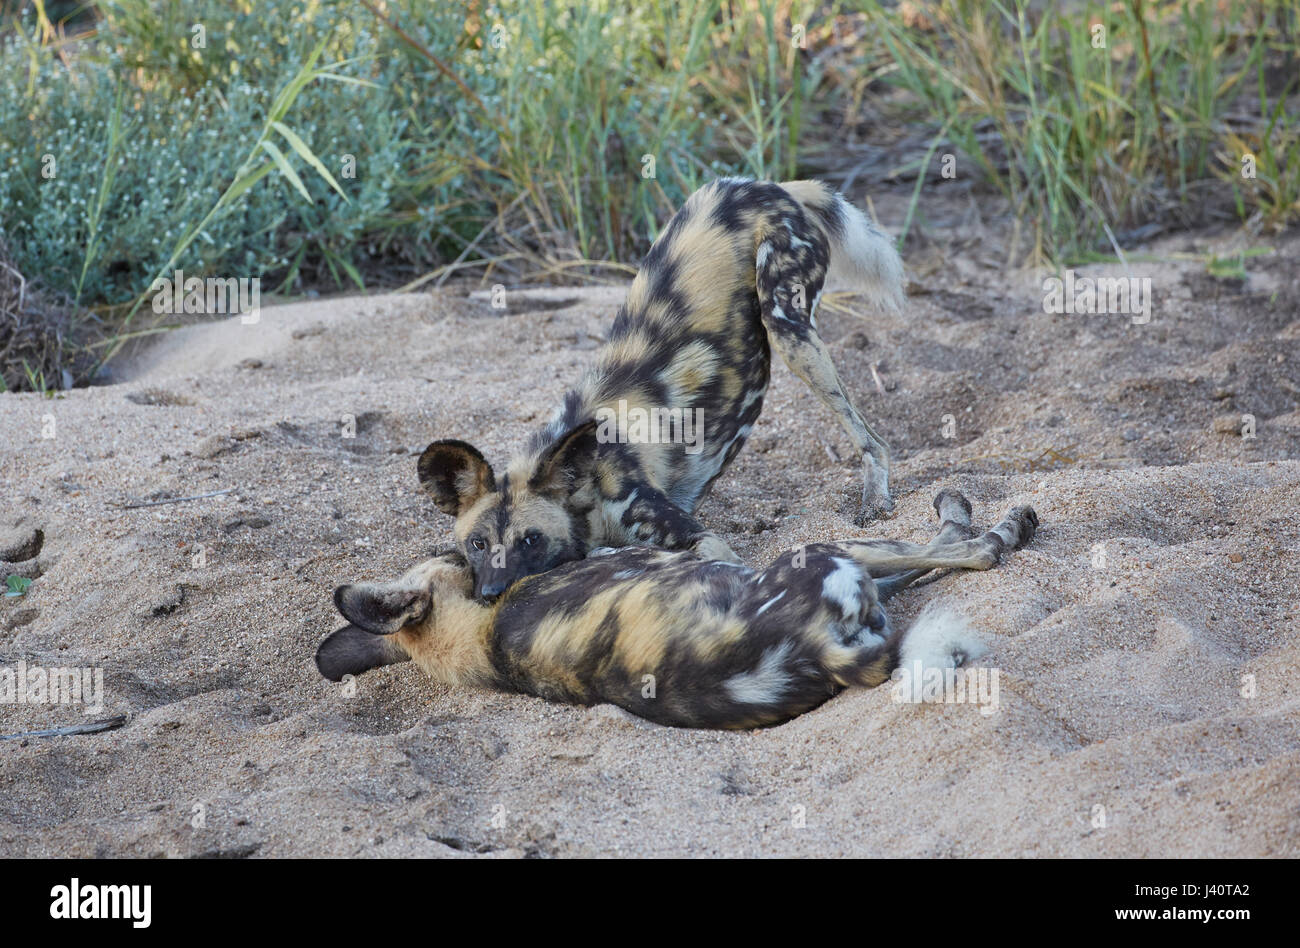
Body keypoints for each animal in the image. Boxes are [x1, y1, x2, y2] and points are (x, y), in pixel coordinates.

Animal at [314, 491, 1034, 728]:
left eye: (455, 546)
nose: (495, 573)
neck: (477, 636)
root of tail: (815, 650)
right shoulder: (726, 555)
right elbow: (944, 553)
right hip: (817, 552)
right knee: (966, 552)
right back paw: (993, 523)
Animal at [418, 175, 904, 598]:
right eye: (478, 544)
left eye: (530, 540)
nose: (492, 593)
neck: (587, 491)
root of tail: (770, 186)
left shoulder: (703, 540)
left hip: (789, 328)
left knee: (873, 439)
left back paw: (873, 501)